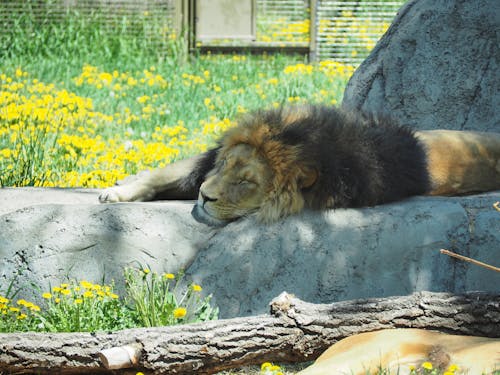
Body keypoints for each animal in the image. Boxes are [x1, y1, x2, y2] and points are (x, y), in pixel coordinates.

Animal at [98, 105, 500, 226]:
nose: (204, 196)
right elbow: (162, 174)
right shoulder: (204, 161)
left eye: (246, 183)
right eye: (225, 165)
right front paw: (117, 193)